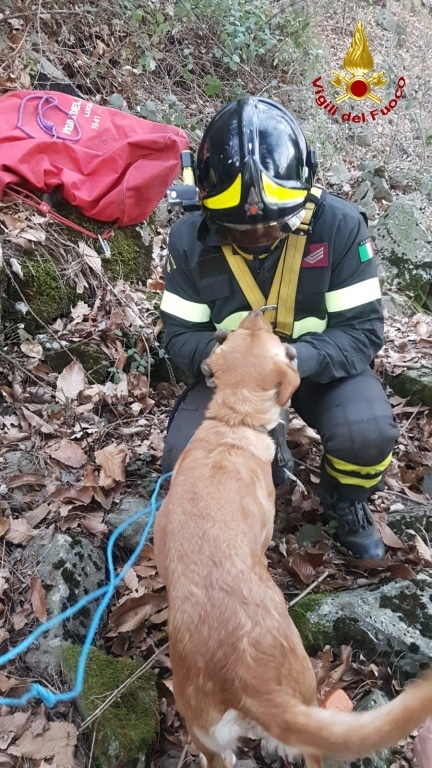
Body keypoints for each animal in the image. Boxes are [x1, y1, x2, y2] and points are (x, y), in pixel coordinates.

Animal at [154, 310, 430, 768]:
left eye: (241, 334)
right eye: (262, 335)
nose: (257, 313)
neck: (232, 423)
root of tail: (247, 678)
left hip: (208, 740)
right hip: (302, 690)